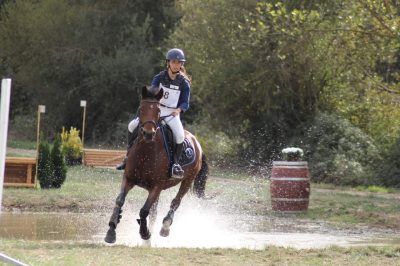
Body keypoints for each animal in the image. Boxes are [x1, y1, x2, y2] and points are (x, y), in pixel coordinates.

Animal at [104, 85, 208, 243]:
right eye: (141, 109)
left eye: (158, 111)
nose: (148, 133)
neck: (146, 152)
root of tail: (196, 141)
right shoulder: (128, 179)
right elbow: (120, 200)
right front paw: (111, 231)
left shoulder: (157, 186)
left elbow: (143, 210)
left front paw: (144, 233)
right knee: (154, 212)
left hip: (187, 181)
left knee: (175, 202)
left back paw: (164, 227)